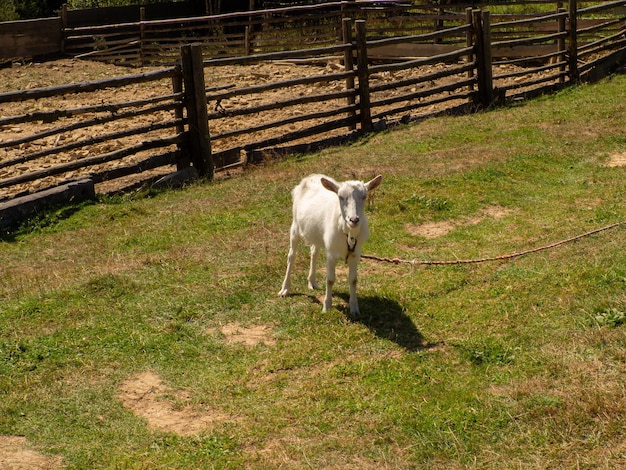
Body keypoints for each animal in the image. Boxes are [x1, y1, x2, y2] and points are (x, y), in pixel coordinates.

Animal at [276, 173, 380, 316]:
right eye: (340, 197)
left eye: (364, 196)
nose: (353, 220)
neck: (348, 233)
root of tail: (311, 177)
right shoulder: (331, 253)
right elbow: (330, 279)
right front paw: (327, 307)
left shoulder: (355, 254)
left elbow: (353, 280)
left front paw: (354, 308)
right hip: (295, 226)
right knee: (291, 256)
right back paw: (285, 289)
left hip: (317, 234)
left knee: (314, 252)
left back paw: (312, 282)